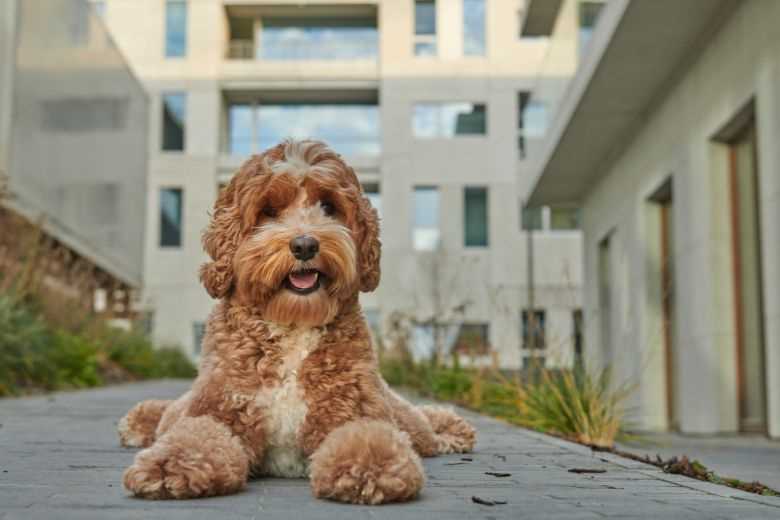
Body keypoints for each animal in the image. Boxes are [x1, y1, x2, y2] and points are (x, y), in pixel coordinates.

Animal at [116, 139, 476, 504]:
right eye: (268, 210)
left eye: (328, 206)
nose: (305, 244)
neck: (293, 323)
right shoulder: (218, 407)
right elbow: (195, 435)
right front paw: (169, 464)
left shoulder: (354, 409)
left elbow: (368, 437)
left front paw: (370, 467)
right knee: (170, 412)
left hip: (400, 413)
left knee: (421, 425)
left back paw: (450, 428)